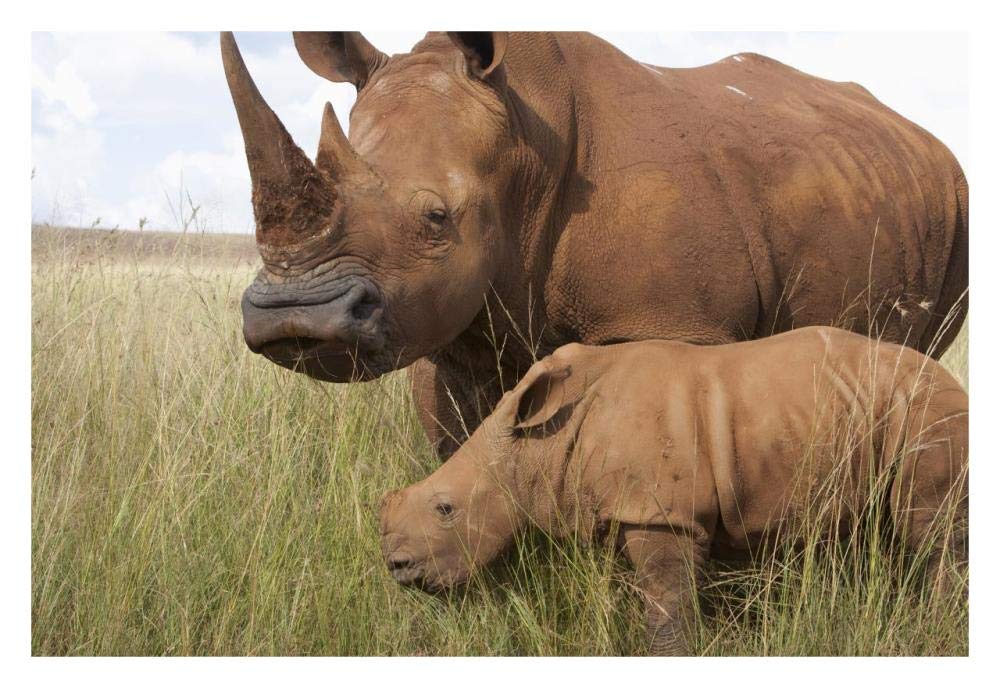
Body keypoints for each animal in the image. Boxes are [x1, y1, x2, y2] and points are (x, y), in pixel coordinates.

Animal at [222, 32, 968, 458]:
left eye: (437, 217)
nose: (294, 317)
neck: (523, 142)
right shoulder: (444, 327)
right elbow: (458, 450)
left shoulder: (672, 322)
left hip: (957, 201)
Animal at [379, 327, 969, 655]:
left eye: (446, 508)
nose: (398, 568)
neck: (536, 445)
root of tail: (954, 382)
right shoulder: (625, 506)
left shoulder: (662, 513)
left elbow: (667, 604)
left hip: (929, 412)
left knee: (927, 531)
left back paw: (937, 629)